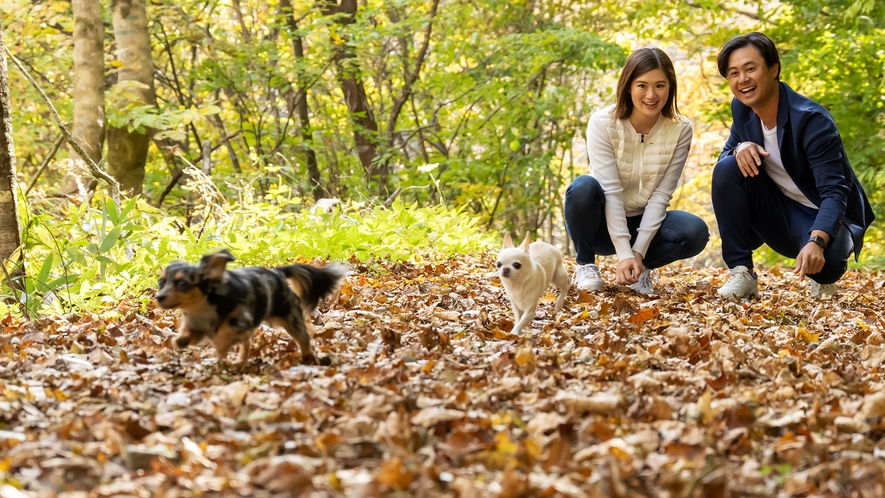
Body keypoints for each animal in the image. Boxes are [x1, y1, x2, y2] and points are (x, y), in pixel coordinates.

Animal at [152, 251, 346, 368]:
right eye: (161, 282)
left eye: (182, 283)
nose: (158, 297)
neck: (203, 307)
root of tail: (277, 273)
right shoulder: (197, 325)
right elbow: (189, 333)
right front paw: (180, 340)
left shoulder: (240, 319)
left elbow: (224, 333)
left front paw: (221, 349)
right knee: (247, 343)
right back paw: (240, 360)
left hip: (290, 317)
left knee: (304, 339)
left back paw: (307, 358)